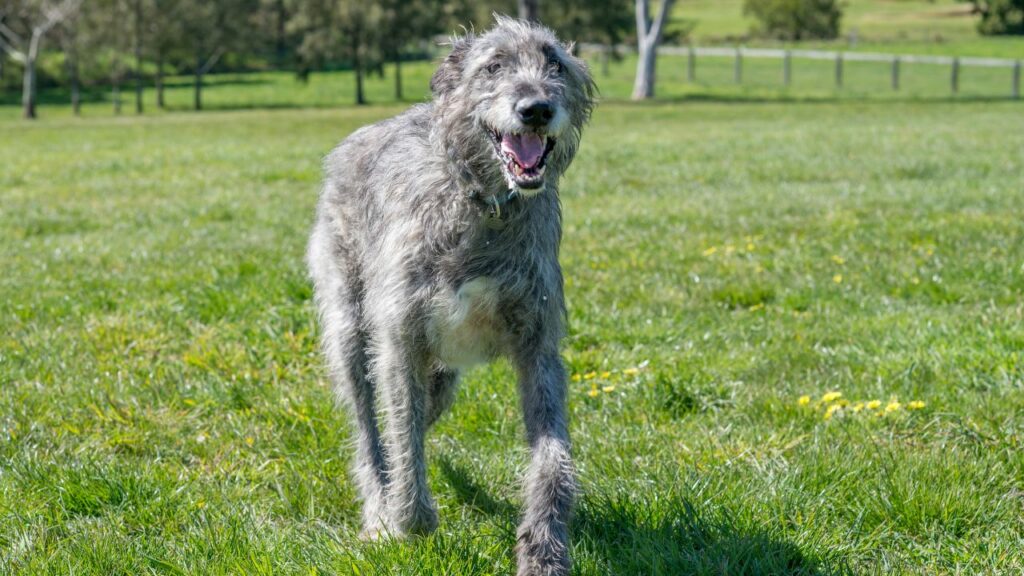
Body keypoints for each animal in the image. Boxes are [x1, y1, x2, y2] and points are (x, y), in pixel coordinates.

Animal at [305, 15, 593, 569]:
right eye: (494, 66)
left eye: (555, 64)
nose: (536, 108)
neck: (487, 205)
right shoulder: (401, 340)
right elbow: (402, 436)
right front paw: (402, 520)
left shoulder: (538, 346)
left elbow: (553, 457)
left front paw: (543, 549)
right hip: (350, 324)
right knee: (369, 426)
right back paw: (377, 506)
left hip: (443, 373)